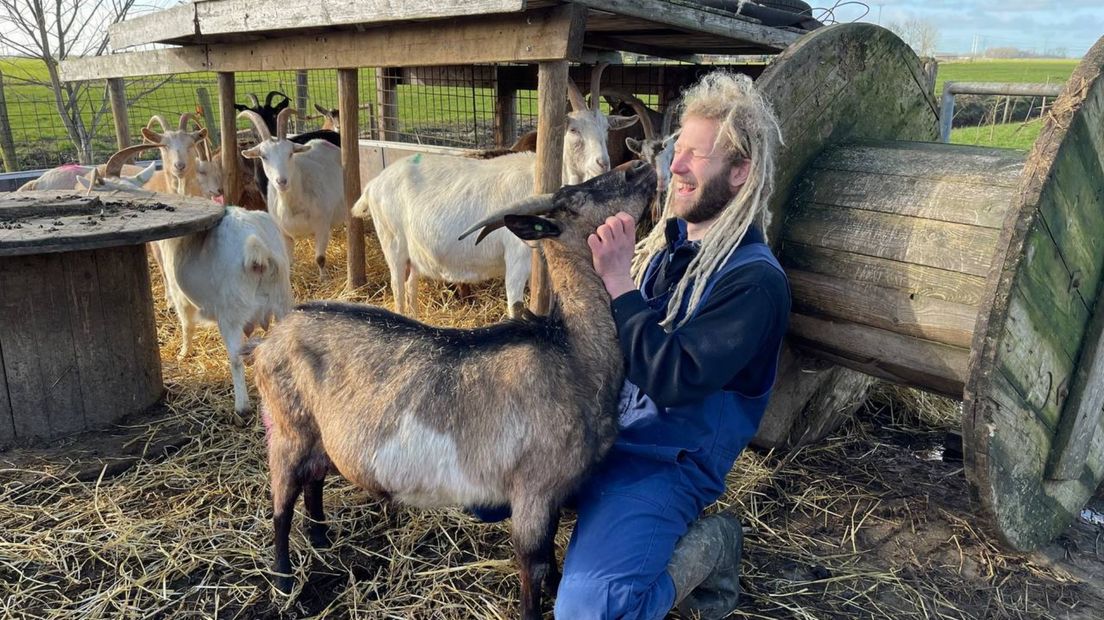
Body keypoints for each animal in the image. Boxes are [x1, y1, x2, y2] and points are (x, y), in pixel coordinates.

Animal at [85, 146, 293, 412]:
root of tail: (257, 250)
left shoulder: (179, 294)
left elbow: (186, 324)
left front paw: (184, 353)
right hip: (282, 302)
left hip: (230, 313)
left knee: (235, 357)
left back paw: (241, 407)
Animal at [239, 107, 342, 275]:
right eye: (263, 156)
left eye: (290, 153)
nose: (281, 181)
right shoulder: (284, 234)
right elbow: (288, 262)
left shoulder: (321, 225)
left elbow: (320, 259)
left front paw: (324, 278)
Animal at [252, 159, 653, 617]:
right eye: (574, 199)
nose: (639, 166)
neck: (574, 354)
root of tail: (273, 338)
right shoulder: (532, 490)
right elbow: (532, 565)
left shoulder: (554, 494)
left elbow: (552, 560)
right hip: (287, 429)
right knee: (281, 503)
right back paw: (284, 579)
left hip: (319, 436)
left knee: (314, 478)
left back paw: (321, 538)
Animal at [348, 62, 635, 313]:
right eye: (574, 130)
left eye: (606, 129)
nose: (603, 163)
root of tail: (373, 185)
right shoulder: (516, 258)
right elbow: (515, 309)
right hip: (392, 243)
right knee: (397, 286)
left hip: (416, 252)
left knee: (410, 285)